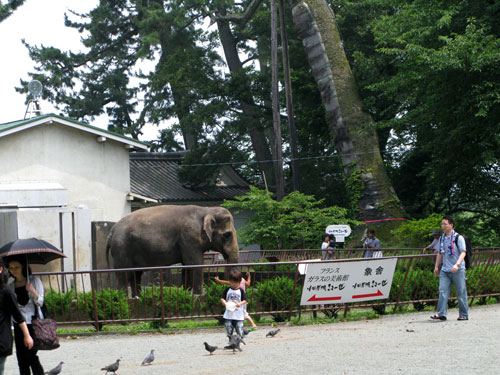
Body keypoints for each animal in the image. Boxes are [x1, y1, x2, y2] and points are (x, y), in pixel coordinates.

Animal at [105, 206, 240, 296]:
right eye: (227, 235)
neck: (207, 210)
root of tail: (111, 231)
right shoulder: (189, 236)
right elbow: (194, 263)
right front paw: (198, 296)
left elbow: (187, 265)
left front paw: (186, 293)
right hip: (121, 249)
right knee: (124, 274)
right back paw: (125, 298)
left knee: (136, 274)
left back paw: (137, 297)